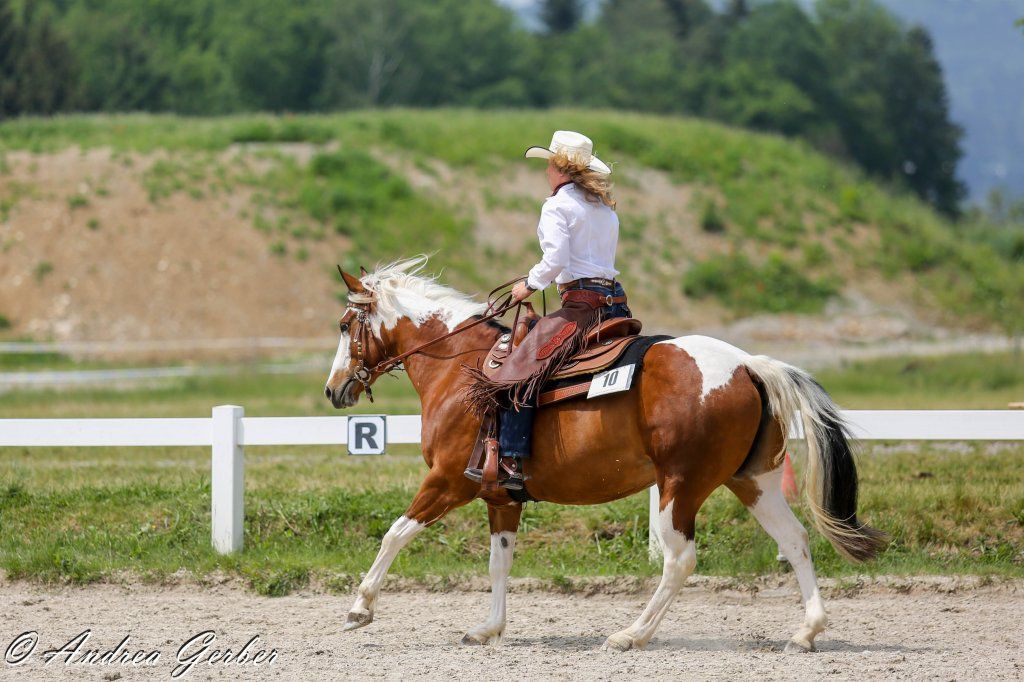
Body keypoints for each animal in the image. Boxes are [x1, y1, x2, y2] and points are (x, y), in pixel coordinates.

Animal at [323, 256, 886, 653]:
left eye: (346, 325)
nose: (333, 390)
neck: (461, 369)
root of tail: (747, 364)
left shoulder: (447, 482)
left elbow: (395, 533)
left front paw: (359, 608)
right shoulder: (501, 496)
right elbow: (499, 562)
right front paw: (489, 629)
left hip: (681, 486)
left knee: (680, 559)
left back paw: (631, 635)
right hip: (754, 482)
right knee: (795, 540)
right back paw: (807, 631)